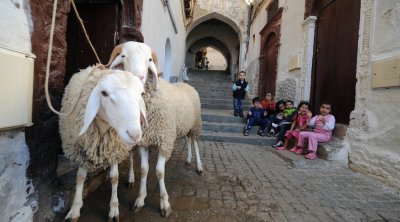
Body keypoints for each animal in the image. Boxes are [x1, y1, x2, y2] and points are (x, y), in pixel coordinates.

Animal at [58, 66, 146, 222]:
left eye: (141, 93)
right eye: (104, 93)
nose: (135, 135)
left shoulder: (114, 150)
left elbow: (114, 177)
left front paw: (114, 210)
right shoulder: (82, 149)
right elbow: (80, 177)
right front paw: (74, 209)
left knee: (132, 158)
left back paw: (131, 179)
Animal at [108, 41, 203, 217]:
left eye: (149, 59)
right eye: (123, 55)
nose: (138, 77)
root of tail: (186, 84)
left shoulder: (164, 140)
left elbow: (159, 172)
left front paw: (165, 204)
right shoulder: (145, 141)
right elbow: (144, 170)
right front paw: (140, 199)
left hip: (196, 124)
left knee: (195, 143)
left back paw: (199, 166)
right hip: (185, 125)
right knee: (187, 140)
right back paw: (188, 159)